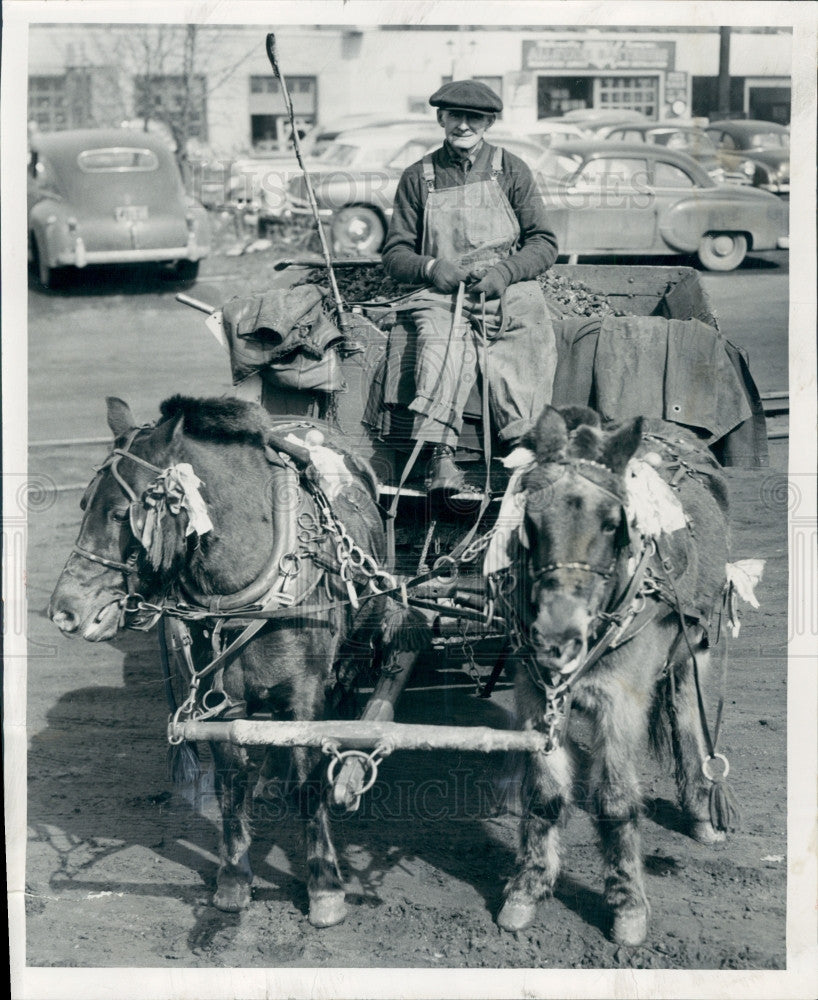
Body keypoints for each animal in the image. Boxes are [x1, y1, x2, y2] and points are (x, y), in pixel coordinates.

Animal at [50, 394, 424, 924]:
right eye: (83, 504)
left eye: (124, 513)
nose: (64, 611)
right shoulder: (220, 701)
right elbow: (230, 782)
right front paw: (234, 877)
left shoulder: (306, 696)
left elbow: (309, 783)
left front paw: (325, 885)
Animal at [484, 404, 744, 944]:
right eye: (531, 520)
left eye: (610, 524)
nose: (556, 639)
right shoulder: (538, 696)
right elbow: (544, 794)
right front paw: (528, 889)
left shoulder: (621, 701)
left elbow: (617, 800)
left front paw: (627, 906)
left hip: (696, 647)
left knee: (689, 719)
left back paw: (702, 810)